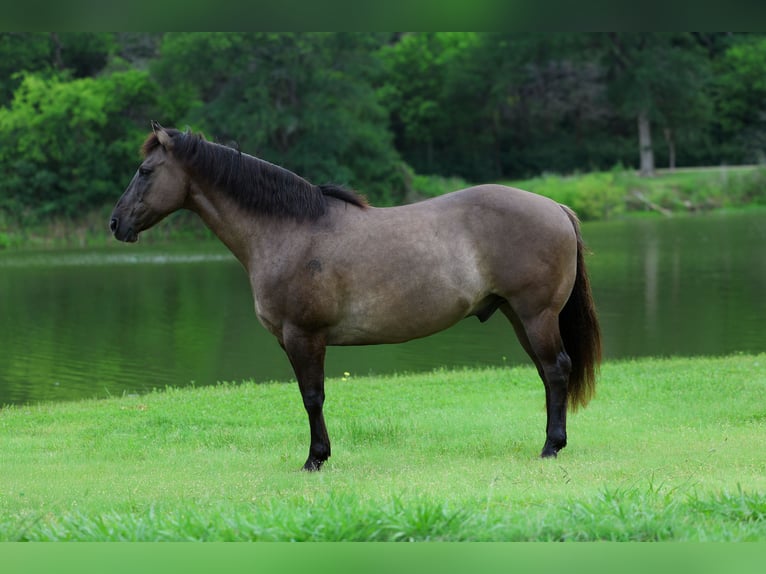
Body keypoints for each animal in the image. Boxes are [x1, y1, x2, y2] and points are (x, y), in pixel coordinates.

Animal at [109, 122, 601, 471]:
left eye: (145, 171)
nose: (116, 223)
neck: (289, 231)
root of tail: (557, 206)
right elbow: (311, 395)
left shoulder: (303, 336)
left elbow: (312, 396)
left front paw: (315, 458)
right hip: (519, 316)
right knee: (547, 374)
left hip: (536, 315)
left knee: (556, 370)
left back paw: (551, 447)